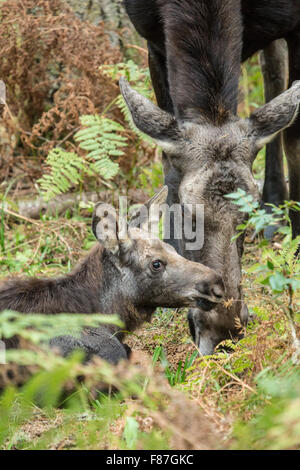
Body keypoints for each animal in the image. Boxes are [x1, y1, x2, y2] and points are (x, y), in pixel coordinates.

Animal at [121, 0, 300, 352]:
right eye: (186, 213)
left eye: (247, 216)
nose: (225, 331)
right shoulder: (152, 38)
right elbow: (168, 163)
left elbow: (294, 141)